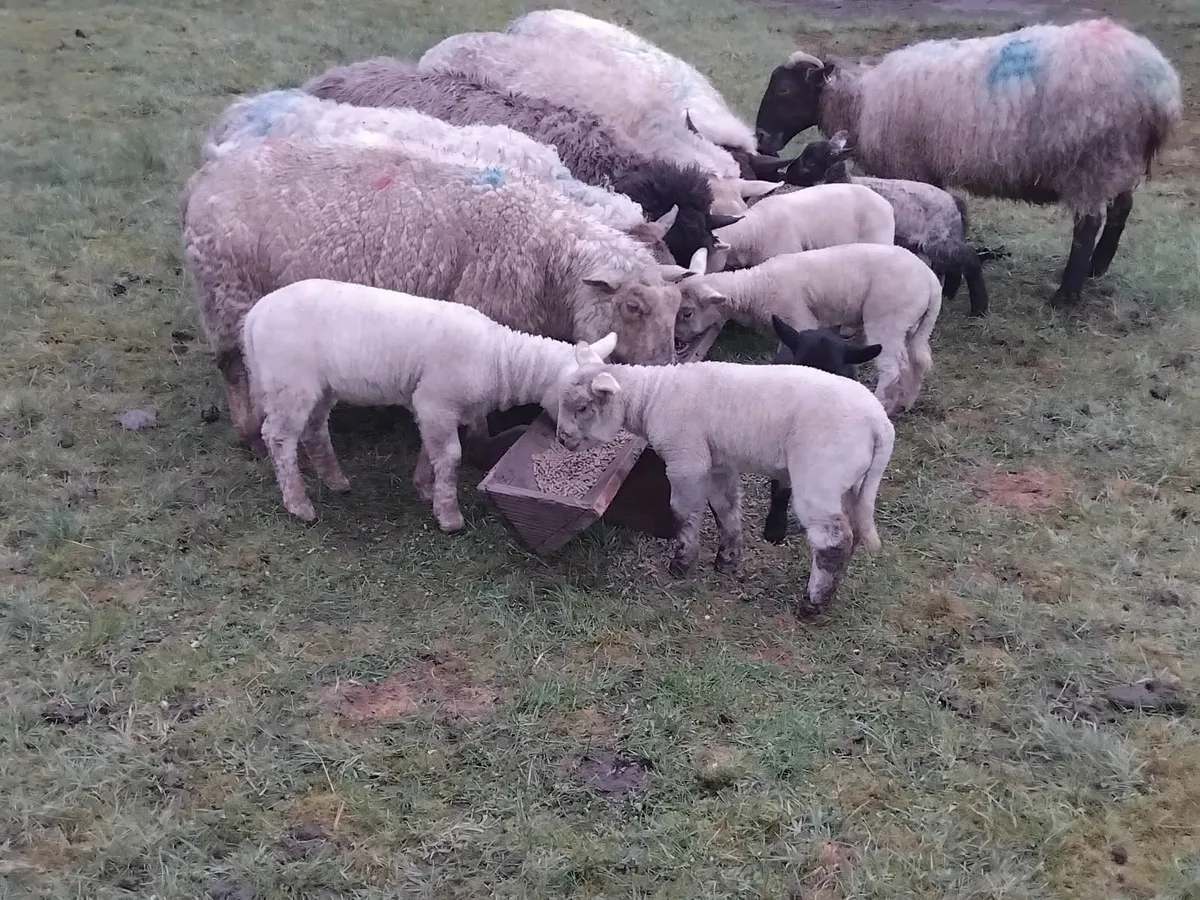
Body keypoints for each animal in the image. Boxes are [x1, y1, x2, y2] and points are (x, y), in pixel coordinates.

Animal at [180, 138, 702, 455]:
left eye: (676, 309)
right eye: (632, 307)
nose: (664, 372)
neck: (547, 250)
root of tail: (204, 176)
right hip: (226, 292)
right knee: (231, 366)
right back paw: (248, 431)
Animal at [241, 277, 620, 530]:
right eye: (583, 405)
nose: (570, 444)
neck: (501, 360)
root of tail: (254, 316)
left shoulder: (433, 407)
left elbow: (433, 450)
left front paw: (425, 487)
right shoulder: (436, 400)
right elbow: (451, 456)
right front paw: (449, 515)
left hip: (320, 385)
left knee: (315, 429)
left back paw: (335, 481)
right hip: (290, 381)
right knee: (279, 438)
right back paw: (298, 504)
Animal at [552, 347, 896, 617]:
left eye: (582, 408)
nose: (562, 438)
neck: (651, 397)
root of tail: (879, 424)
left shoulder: (686, 460)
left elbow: (684, 513)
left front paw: (682, 563)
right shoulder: (719, 463)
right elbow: (725, 509)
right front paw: (727, 560)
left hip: (820, 475)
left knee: (833, 541)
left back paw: (812, 605)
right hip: (850, 483)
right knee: (851, 533)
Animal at [674, 242, 941, 415]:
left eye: (687, 313)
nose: (677, 340)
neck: (756, 288)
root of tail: (931, 282)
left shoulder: (800, 320)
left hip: (887, 317)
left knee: (892, 368)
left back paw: (882, 403)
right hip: (913, 325)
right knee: (917, 361)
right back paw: (905, 403)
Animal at [776, 132, 990, 316]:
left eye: (810, 161)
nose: (787, 174)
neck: (846, 183)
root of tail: (954, 202)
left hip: (938, 239)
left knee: (969, 258)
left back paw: (979, 309)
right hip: (944, 238)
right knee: (952, 266)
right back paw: (948, 295)